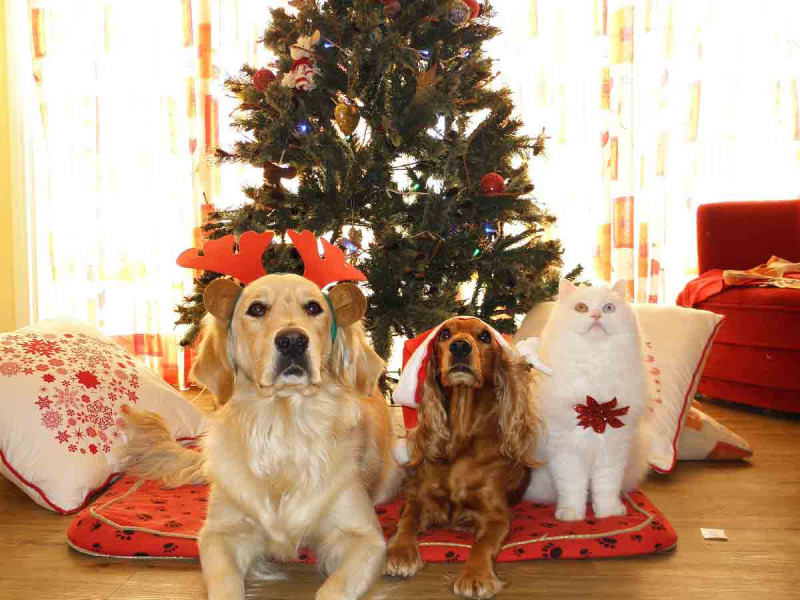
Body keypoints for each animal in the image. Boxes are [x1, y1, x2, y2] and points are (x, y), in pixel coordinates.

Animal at [524, 280, 648, 520]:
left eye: (609, 308)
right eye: (581, 308)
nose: (597, 315)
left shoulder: (613, 449)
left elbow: (606, 486)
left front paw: (608, 513)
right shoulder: (565, 450)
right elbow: (572, 487)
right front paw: (571, 514)